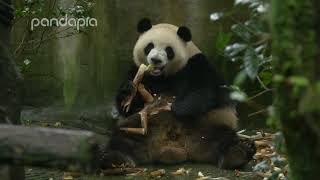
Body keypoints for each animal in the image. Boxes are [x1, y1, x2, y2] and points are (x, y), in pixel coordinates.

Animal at [104, 17, 256, 169]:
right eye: (149, 46)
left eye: (168, 50)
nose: (155, 60)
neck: (162, 76)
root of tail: (173, 147)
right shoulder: (137, 71)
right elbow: (129, 108)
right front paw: (128, 91)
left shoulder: (195, 64)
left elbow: (203, 91)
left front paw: (177, 108)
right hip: (137, 129)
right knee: (121, 140)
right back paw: (116, 158)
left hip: (210, 123)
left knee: (224, 138)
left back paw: (238, 153)